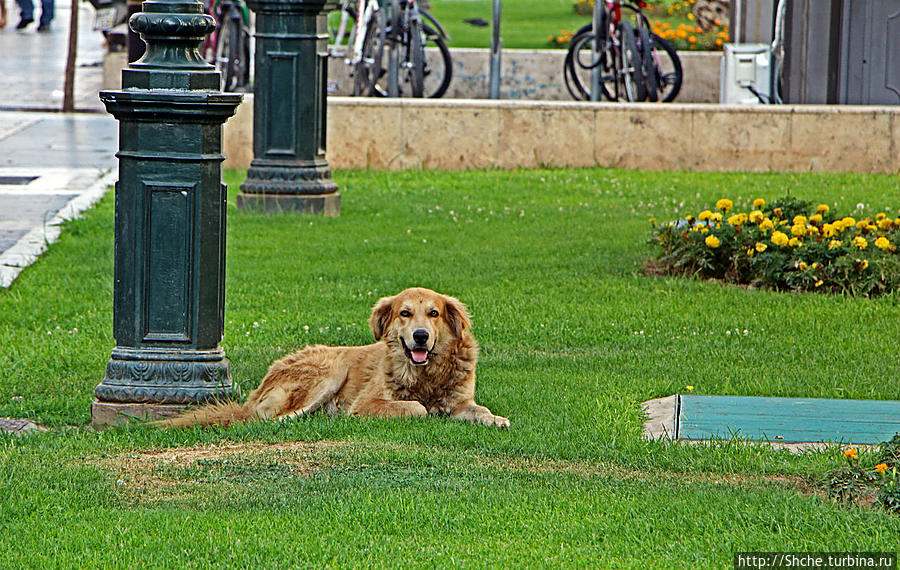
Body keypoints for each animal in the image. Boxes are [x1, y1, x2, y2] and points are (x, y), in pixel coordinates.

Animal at [157, 288, 510, 426]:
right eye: (405, 313)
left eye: (434, 313)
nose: (420, 336)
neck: (427, 374)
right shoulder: (367, 404)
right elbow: (417, 408)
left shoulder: (460, 401)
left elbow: (479, 410)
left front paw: (495, 419)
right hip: (329, 371)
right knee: (269, 418)